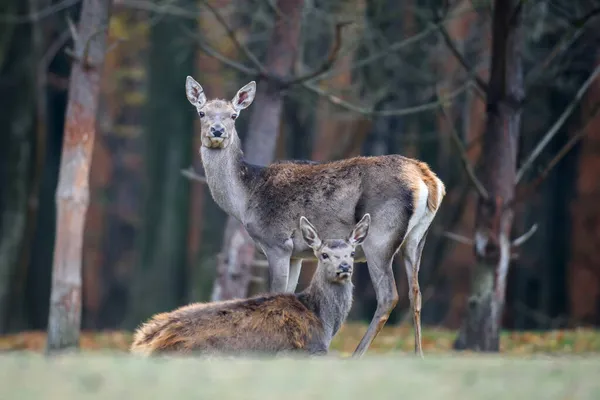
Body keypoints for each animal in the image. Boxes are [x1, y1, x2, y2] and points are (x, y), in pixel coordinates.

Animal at [129, 214, 368, 358]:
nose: (345, 267)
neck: (323, 323)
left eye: (352, 253)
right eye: (324, 254)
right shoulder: (306, 352)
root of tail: (140, 346)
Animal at [186, 76, 446, 358]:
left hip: (380, 236)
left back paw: (356, 355)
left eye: (233, 115)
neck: (245, 201)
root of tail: (428, 180)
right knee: (415, 293)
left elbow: (275, 292)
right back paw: (418, 354)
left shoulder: (277, 243)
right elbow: (286, 293)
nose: (217, 131)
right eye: (202, 113)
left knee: (389, 295)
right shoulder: (297, 254)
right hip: (416, 239)